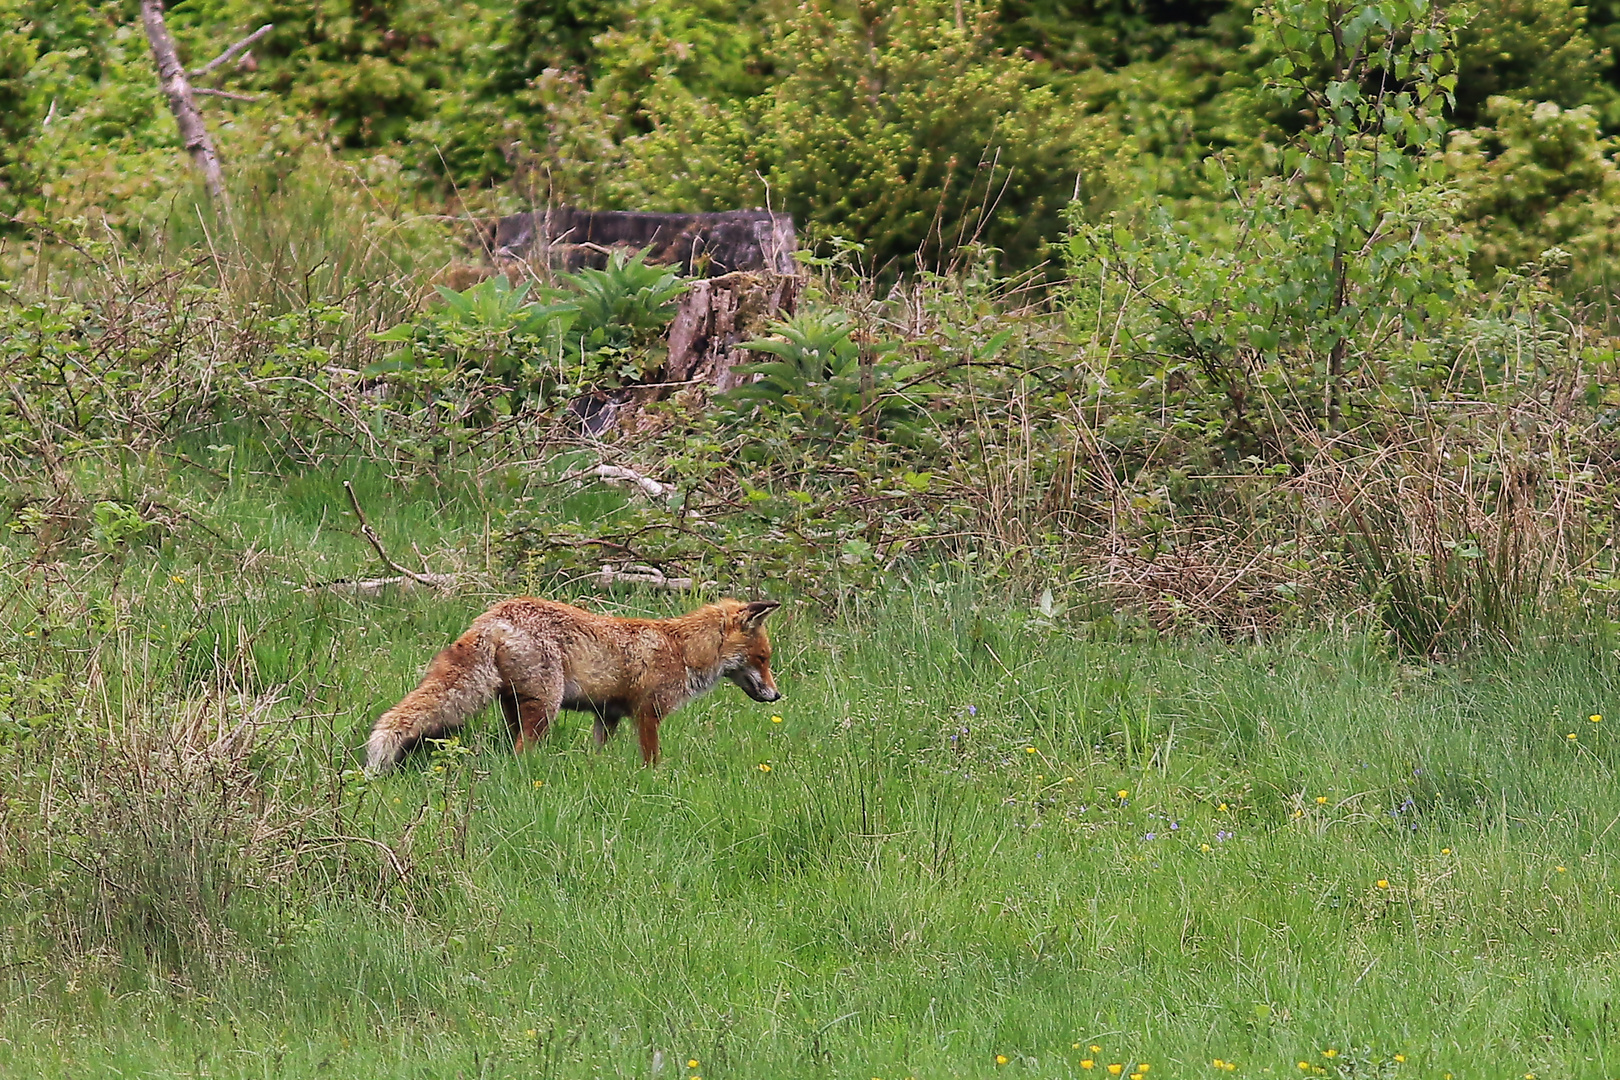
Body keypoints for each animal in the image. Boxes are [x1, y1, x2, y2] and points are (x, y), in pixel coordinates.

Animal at [364, 595, 780, 773]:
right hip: (544, 708)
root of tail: (493, 615)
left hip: (515, 706)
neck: (681, 651)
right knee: (521, 752)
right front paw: (654, 782)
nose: (777, 695)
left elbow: (599, 753)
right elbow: (652, 760)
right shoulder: (647, 713)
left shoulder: (607, 716)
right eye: (763, 659)